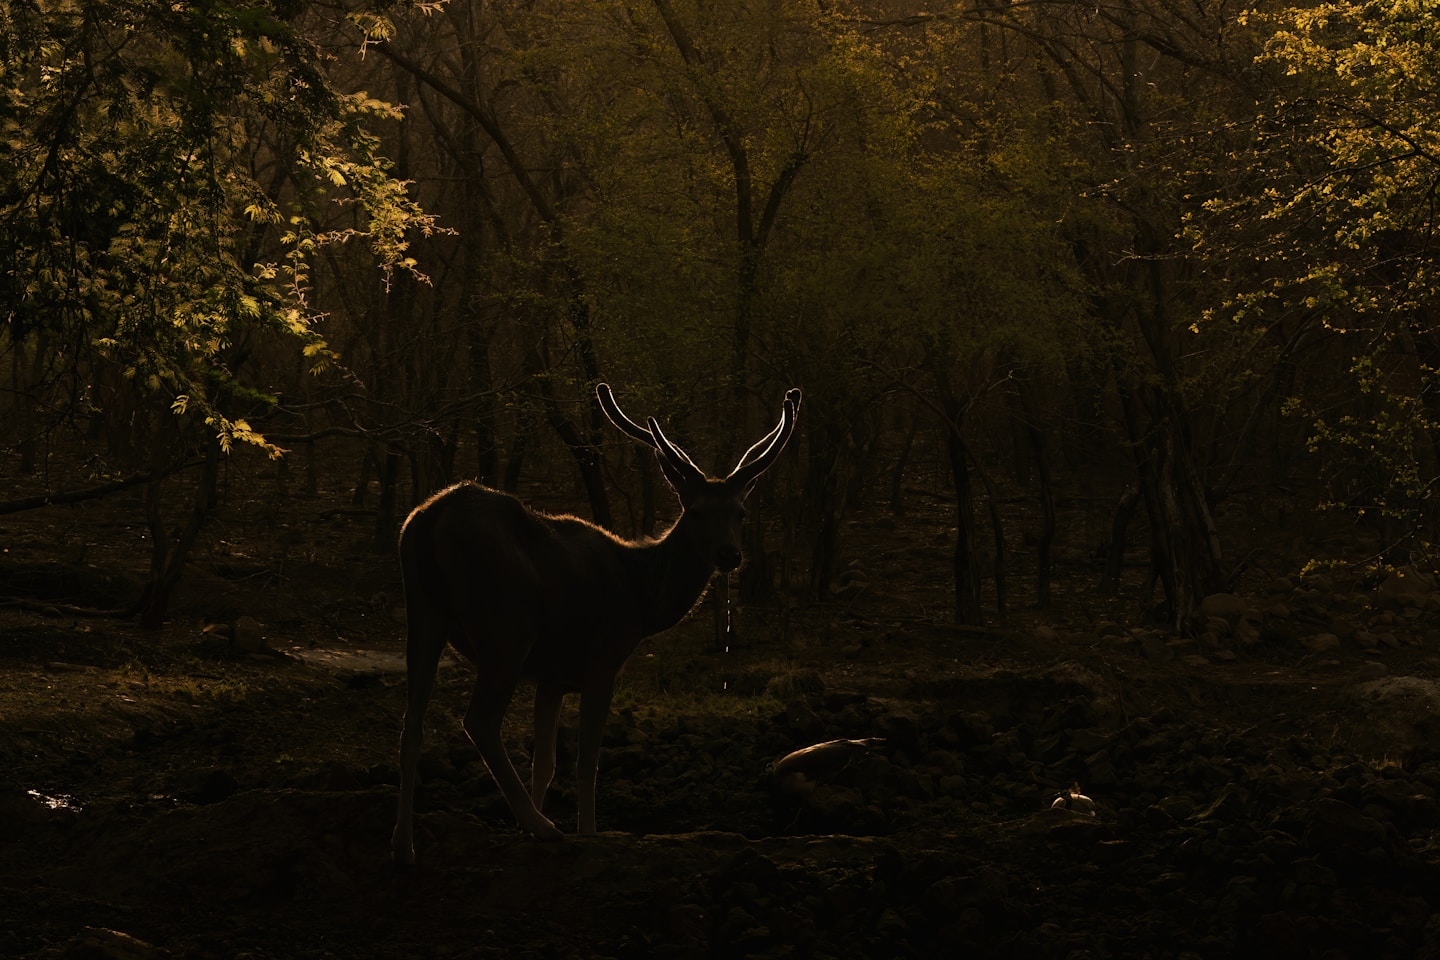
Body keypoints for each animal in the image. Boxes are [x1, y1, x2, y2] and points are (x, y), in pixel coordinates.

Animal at [390, 382, 801, 864]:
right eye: (696, 510)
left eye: (739, 512)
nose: (729, 555)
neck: (641, 597)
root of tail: (428, 521)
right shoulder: (604, 657)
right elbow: (587, 760)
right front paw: (583, 831)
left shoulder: (550, 676)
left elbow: (545, 763)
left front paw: (528, 827)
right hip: (505, 627)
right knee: (479, 721)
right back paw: (544, 827)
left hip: (423, 614)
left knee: (411, 724)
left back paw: (404, 845)